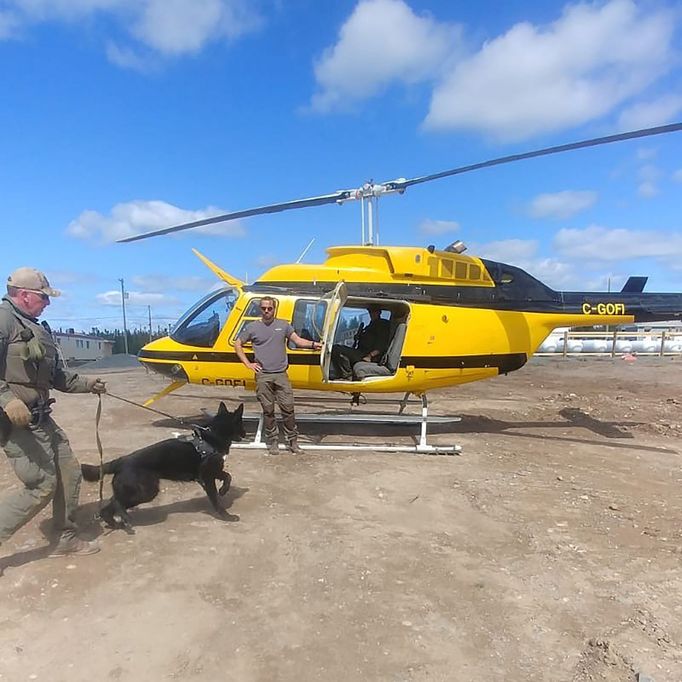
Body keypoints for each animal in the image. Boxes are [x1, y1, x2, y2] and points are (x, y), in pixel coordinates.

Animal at [81, 402, 244, 528]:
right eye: (241, 423)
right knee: (116, 502)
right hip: (146, 492)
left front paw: (224, 490)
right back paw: (123, 518)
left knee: (107, 508)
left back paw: (116, 524)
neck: (213, 436)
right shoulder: (208, 476)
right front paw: (226, 515)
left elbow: (227, 476)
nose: (245, 433)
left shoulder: (213, 472)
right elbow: (216, 499)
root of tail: (121, 461)